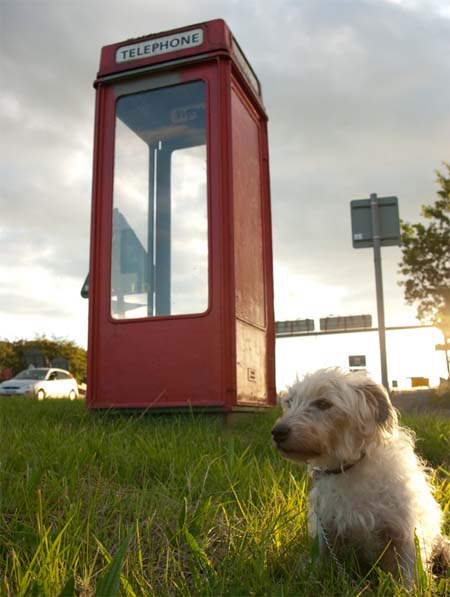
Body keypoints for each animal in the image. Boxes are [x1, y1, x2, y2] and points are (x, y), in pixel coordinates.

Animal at [272, 366, 448, 584]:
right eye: (289, 402)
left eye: (323, 403)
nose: (277, 432)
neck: (349, 467)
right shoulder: (327, 532)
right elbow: (320, 564)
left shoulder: (404, 533)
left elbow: (409, 574)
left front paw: (411, 588)